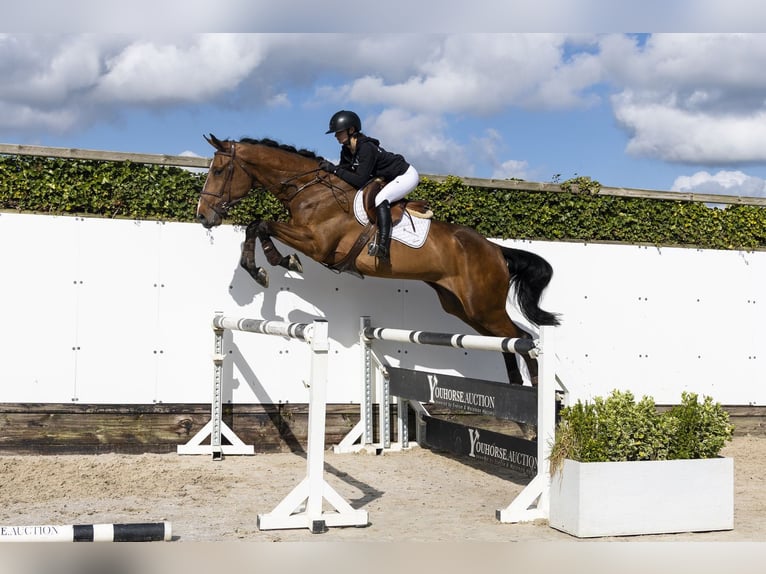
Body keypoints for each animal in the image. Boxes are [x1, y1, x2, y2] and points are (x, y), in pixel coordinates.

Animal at [196, 134, 560, 386]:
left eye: (220, 170)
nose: (203, 216)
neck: (311, 191)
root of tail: (496, 250)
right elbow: (256, 225)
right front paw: (259, 267)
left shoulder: (318, 244)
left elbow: (261, 224)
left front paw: (276, 263)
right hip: (463, 307)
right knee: (505, 341)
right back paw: (516, 384)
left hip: (483, 305)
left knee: (523, 338)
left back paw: (533, 388)